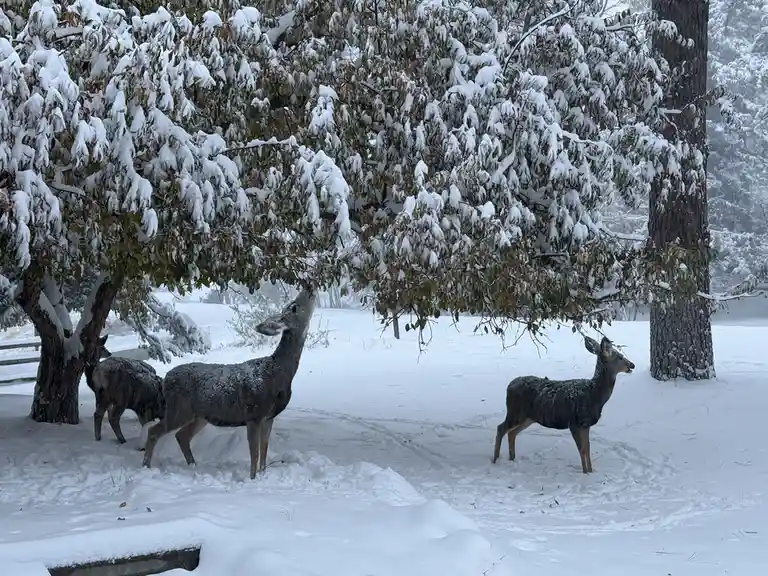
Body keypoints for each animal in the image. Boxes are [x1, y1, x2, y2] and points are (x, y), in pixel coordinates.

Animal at [142, 288, 316, 479]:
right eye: (294, 307)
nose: (309, 289)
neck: (279, 373)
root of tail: (165, 379)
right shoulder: (253, 414)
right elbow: (254, 453)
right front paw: (252, 478)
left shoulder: (269, 417)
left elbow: (264, 450)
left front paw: (263, 474)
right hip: (179, 408)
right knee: (154, 432)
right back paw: (146, 466)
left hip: (199, 415)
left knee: (182, 436)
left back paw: (193, 466)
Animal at [492, 335, 635, 474]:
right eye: (619, 356)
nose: (632, 365)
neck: (594, 396)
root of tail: (509, 386)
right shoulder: (574, 423)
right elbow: (582, 450)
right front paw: (585, 474)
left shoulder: (586, 424)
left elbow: (588, 448)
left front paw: (591, 472)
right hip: (515, 412)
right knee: (501, 428)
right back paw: (495, 460)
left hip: (529, 417)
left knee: (512, 433)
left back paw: (512, 458)